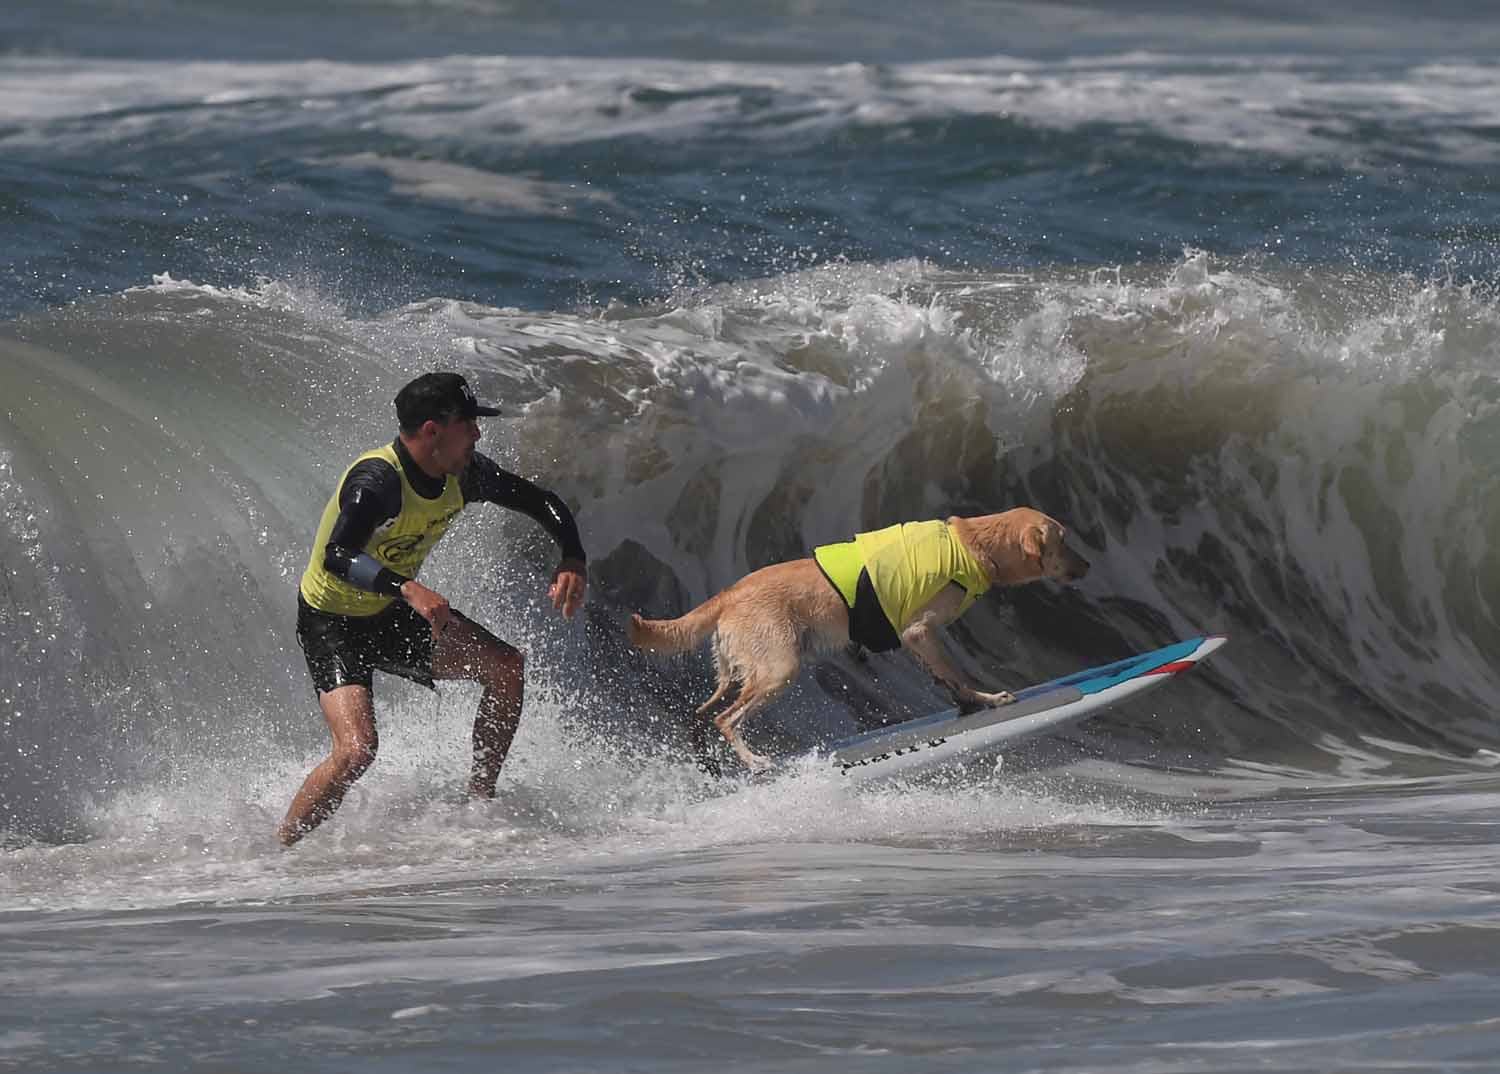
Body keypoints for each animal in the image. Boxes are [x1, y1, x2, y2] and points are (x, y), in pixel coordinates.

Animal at [621, 510, 1092, 774]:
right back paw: (754, 761)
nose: (1087, 566)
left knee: (702, 713)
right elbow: (956, 674)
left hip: (735, 673)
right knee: (725, 719)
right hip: (779, 669)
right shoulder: (920, 632)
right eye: (1064, 540)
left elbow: (946, 680)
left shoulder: (921, 642)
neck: (973, 543)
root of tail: (729, 593)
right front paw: (988, 699)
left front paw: (969, 705)